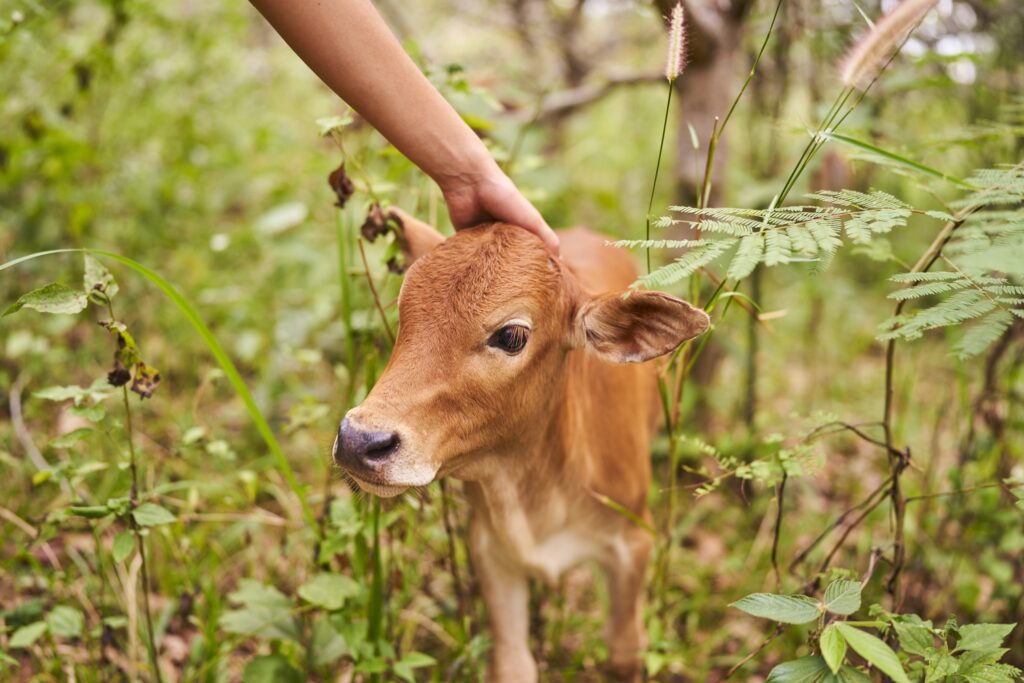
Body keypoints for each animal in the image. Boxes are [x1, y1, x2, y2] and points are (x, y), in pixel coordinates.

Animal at [331, 210, 708, 679]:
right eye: (403, 311)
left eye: (511, 336)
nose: (358, 440)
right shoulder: (491, 550)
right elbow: (513, 663)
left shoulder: (634, 540)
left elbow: (624, 651)